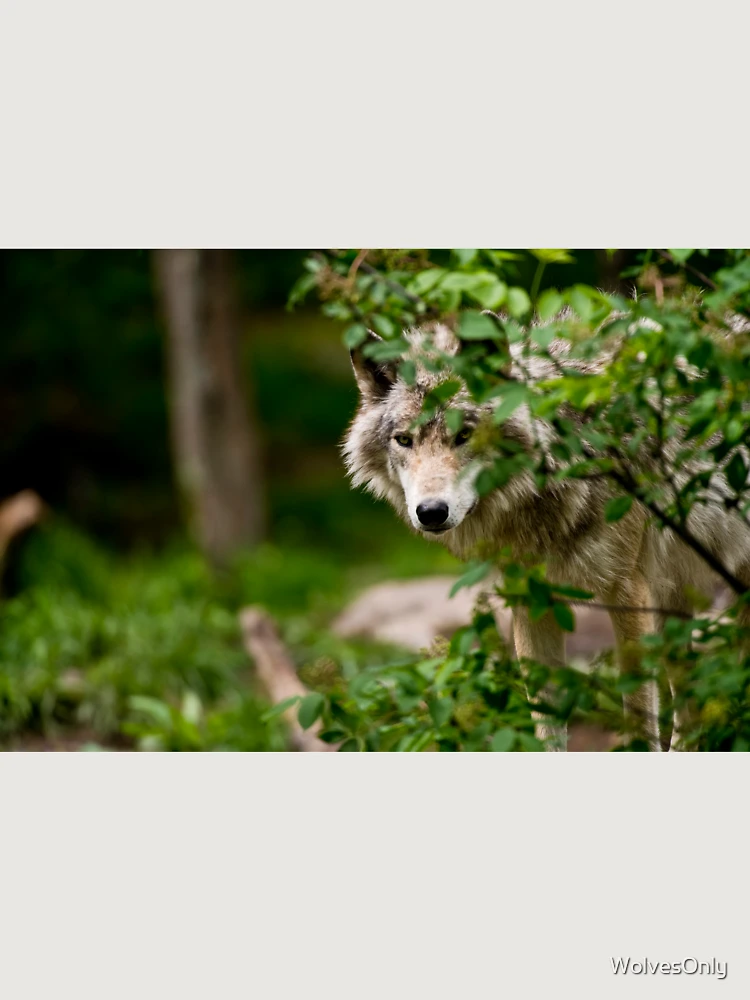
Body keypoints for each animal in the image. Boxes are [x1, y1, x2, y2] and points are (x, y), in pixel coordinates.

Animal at [343, 322, 750, 751]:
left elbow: (639, 722)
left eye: (464, 436)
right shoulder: (532, 600)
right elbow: (546, 726)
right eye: (404, 440)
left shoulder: (628, 595)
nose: (431, 512)